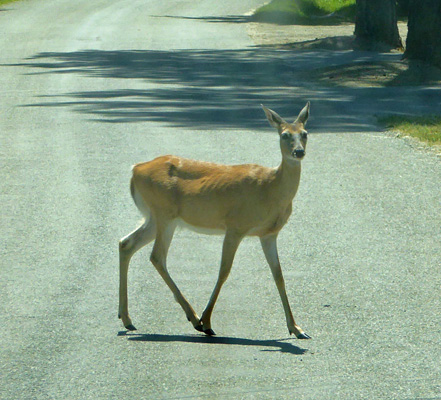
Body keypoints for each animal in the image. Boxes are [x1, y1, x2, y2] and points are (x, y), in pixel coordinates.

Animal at [117, 102, 310, 338]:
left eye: (305, 133)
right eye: (284, 135)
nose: (298, 151)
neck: (270, 188)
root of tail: (135, 169)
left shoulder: (269, 234)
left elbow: (279, 275)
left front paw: (297, 328)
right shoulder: (235, 226)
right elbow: (224, 271)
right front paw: (207, 320)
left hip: (155, 217)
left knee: (126, 243)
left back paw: (127, 318)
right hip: (164, 214)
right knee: (156, 256)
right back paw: (193, 318)